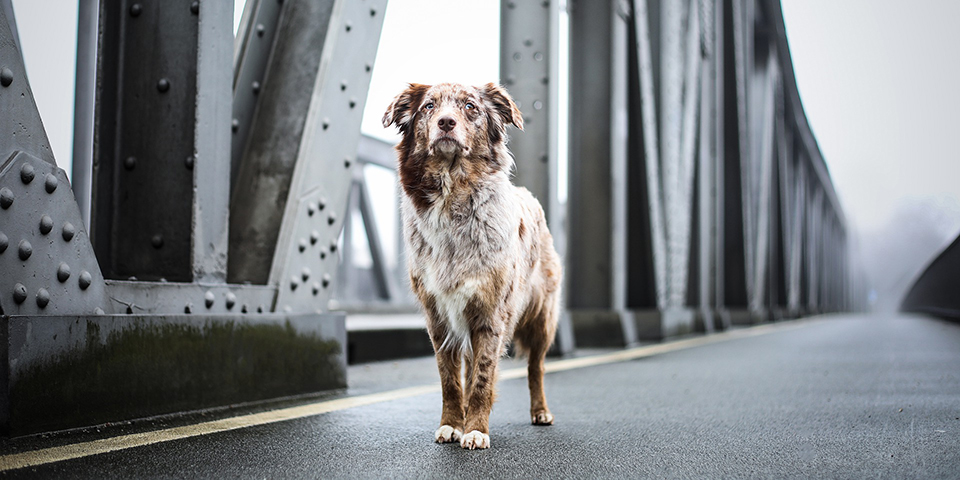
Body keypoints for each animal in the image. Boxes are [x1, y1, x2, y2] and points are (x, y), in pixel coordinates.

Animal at [382, 83, 564, 450]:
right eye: (429, 106)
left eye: (470, 107)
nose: (446, 122)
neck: (452, 195)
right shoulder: (439, 317)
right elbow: (451, 381)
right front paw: (452, 425)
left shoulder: (490, 314)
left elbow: (482, 379)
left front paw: (476, 430)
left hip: (542, 318)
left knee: (536, 367)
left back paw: (540, 412)